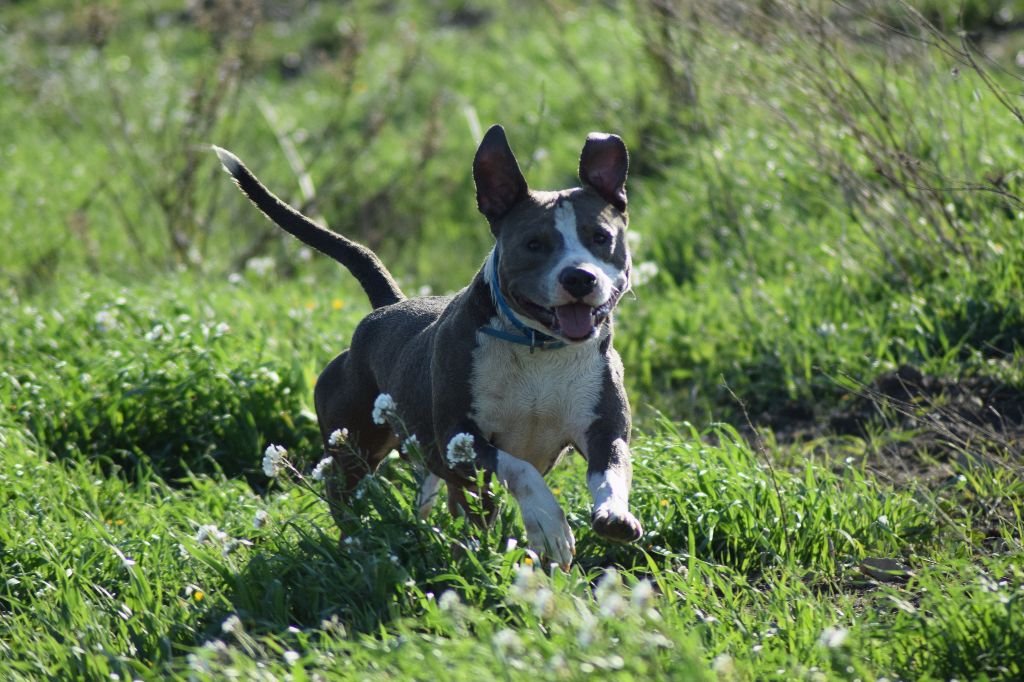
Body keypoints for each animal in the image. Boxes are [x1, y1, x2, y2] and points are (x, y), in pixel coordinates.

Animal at [214, 124, 638, 565]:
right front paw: (548, 523)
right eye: (534, 243)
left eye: (601, 237)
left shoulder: (605, 431)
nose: (580, 277)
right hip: (355, 444)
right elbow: (521, 470)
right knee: (345, 494)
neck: (539, 347)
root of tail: (388, 306)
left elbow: (612, 472)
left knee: (448, 500)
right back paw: (356, 544)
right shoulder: (458, 441)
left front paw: (614, 514)